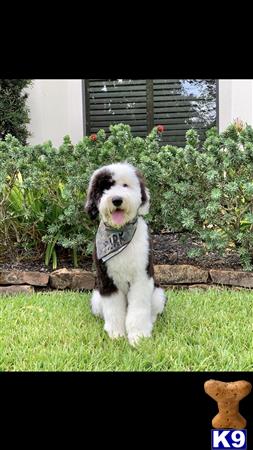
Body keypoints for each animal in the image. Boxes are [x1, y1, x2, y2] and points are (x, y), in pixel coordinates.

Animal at [85, 163, 166, 346]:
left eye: (125, 185)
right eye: (105, 188)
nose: (116, 200)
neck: (119, 233)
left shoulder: (141, 277)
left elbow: (139, 309)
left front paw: (139, 336)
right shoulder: (107, 279)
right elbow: (113, 309)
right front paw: (116, 334)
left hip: (158, 295)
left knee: (152, 311)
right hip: (96, 298)